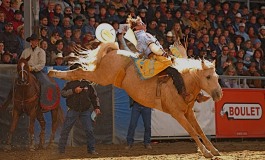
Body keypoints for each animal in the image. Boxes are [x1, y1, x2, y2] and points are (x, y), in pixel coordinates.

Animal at [48, 42, 223, 158]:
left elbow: (200, 130)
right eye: (208, 77)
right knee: (78, 72)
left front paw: (213, 150)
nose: (219, 94)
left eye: (217, 76)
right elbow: (192, 131)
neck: (181, 83)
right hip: (101, 76)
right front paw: (206, 152)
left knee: (81, 71)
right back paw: (53, 73)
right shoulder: (177, 114)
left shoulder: (188, 113)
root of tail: (114, 51)